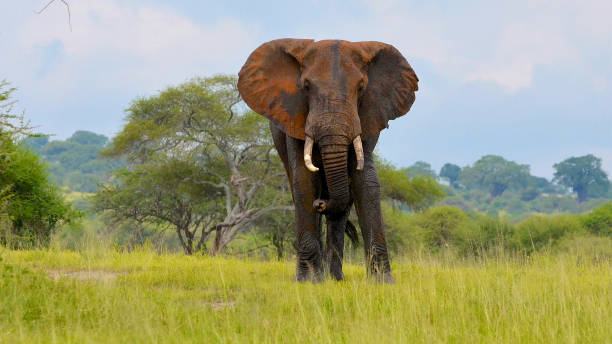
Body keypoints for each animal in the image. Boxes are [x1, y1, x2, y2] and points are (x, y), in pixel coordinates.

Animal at [237, 39, 418, 284]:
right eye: (306, 86)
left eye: (361, 87)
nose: (321, 203)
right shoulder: (294, 117)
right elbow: (304, 182)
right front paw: (308, 281)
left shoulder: (368, 113)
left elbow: (366, 181)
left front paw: (383, 283)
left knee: (340, 211)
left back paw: (335, 278)